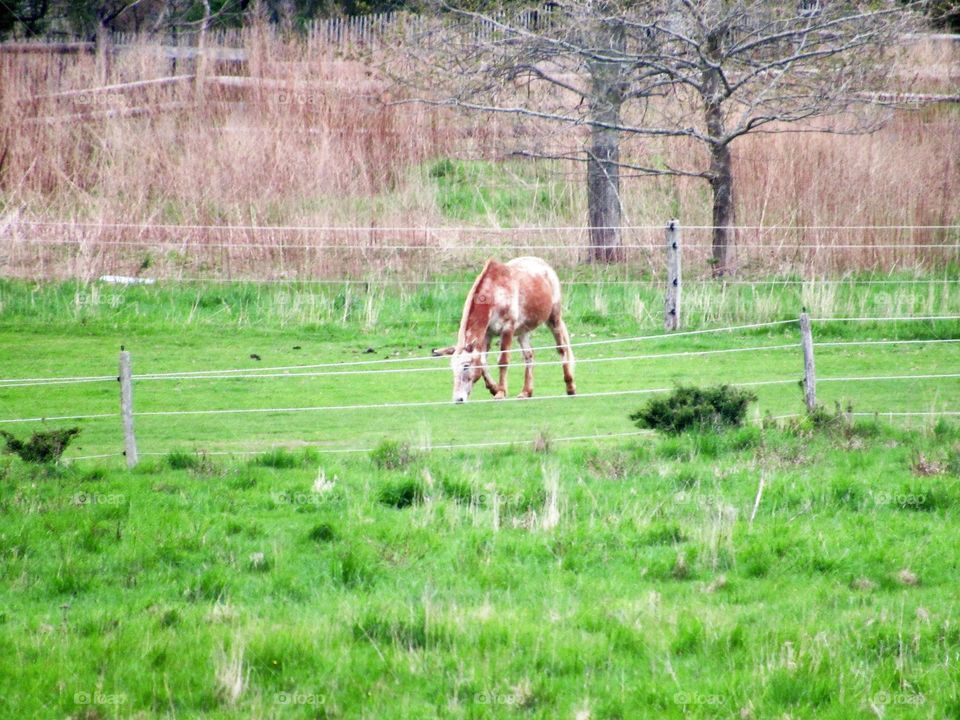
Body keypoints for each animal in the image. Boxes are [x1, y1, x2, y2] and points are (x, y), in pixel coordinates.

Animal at [436, 258, 576, 404]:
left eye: (466, 366)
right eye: (452, 368)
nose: (458, 399)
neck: (495, 294)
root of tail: (545, 265)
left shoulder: (507, 329)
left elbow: (503, 361)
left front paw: (501, 392)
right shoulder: (487, 334)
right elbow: (483, 362)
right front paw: (494, 388)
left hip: (554, 319)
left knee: (562, 349)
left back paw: (570, 387)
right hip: (523, 331)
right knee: (529, 355)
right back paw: (526, 392)